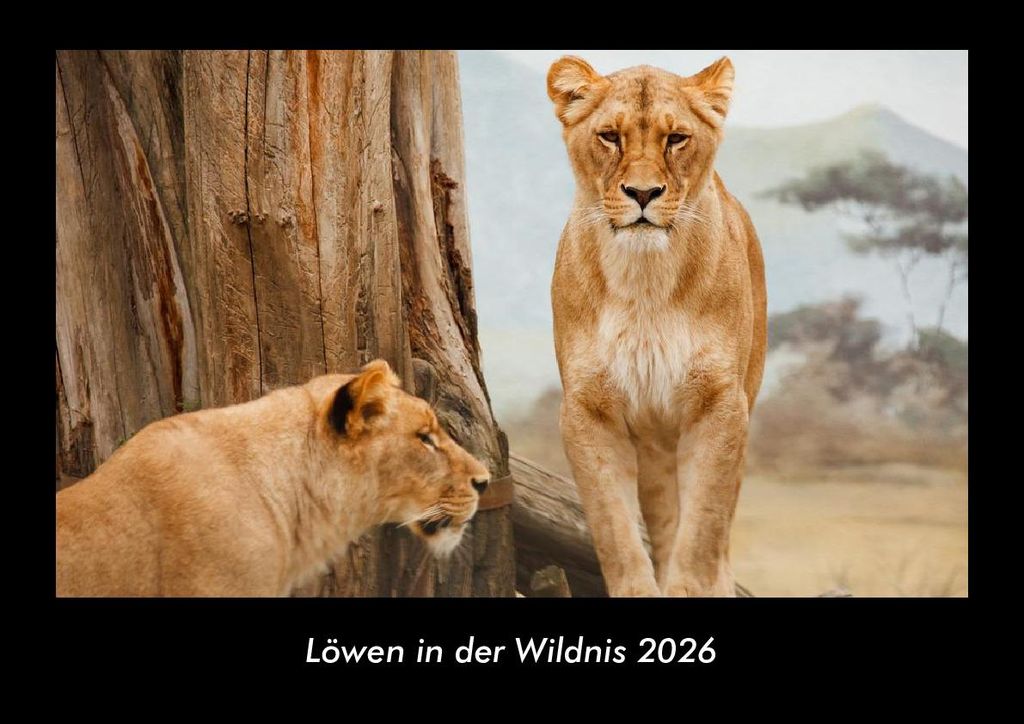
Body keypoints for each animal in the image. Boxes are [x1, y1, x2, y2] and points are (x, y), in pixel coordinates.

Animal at [547, 56, 767, 596]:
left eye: (677, 138)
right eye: (609, 136)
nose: (643, 193)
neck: (644, 281)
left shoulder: (721, 405)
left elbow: (704, 529)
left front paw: (693, 586)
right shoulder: (586, 411)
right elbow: (615, 530)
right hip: (653, 445)